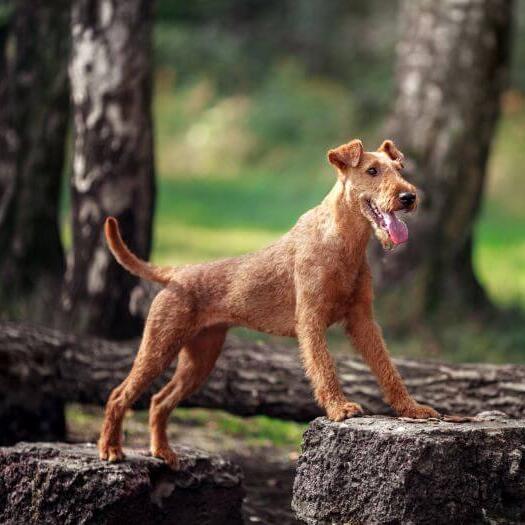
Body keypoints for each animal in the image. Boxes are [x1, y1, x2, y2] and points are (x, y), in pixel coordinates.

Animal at [97, 138, 438, 466]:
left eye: (400, 168)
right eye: (372, 171)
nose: (409, 196)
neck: (343, 241)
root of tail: (177, 273)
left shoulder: (363, 321)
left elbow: (387, 369)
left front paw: (411, 408)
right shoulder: (311, 320)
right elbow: (325, 368)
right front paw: (339, 408)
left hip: (200, 358)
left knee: (159, 400)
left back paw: (162, 452)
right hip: (159, 346)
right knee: (118, 394)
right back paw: (111, 449)